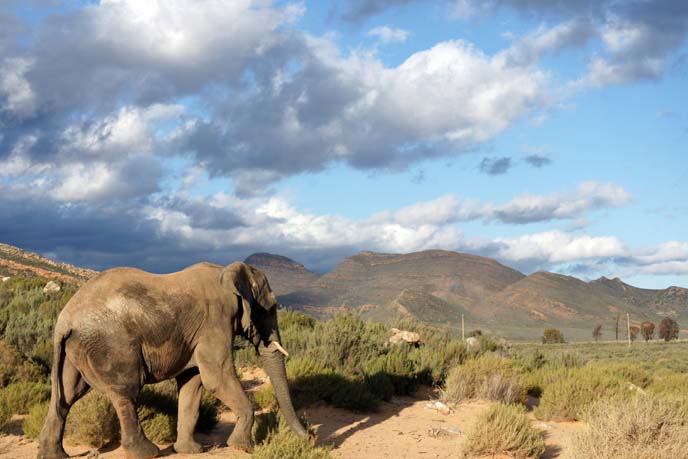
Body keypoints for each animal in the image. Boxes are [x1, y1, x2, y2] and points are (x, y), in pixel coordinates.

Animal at [37, 262, 306, 459]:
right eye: (270, 308)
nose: (307, 437)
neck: (225, 273)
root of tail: (64, 320)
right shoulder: (215, 321)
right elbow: (216, 377)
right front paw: (244, 447)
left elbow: (193, 384)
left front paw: (192, 451)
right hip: (112, 344)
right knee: (126, 392)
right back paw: (147, 453)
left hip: (75, 350)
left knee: (67, 395)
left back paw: (54, 455)